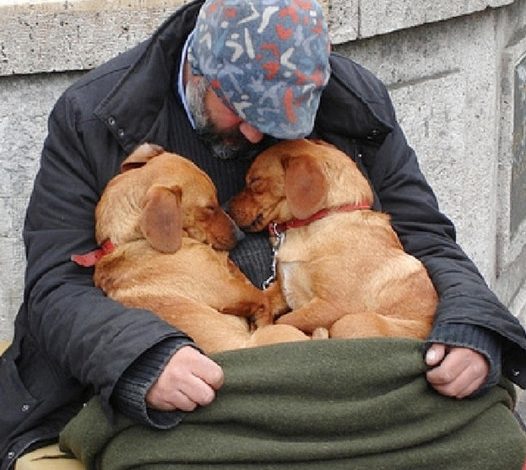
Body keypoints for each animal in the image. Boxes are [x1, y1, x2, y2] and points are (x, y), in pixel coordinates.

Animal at [229, 138, 440, 340]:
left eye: (255, 181)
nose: (227, 209)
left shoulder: (330, 306)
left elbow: (284, 321)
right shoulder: (282, 288)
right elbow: (263, 298)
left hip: (349, 322)